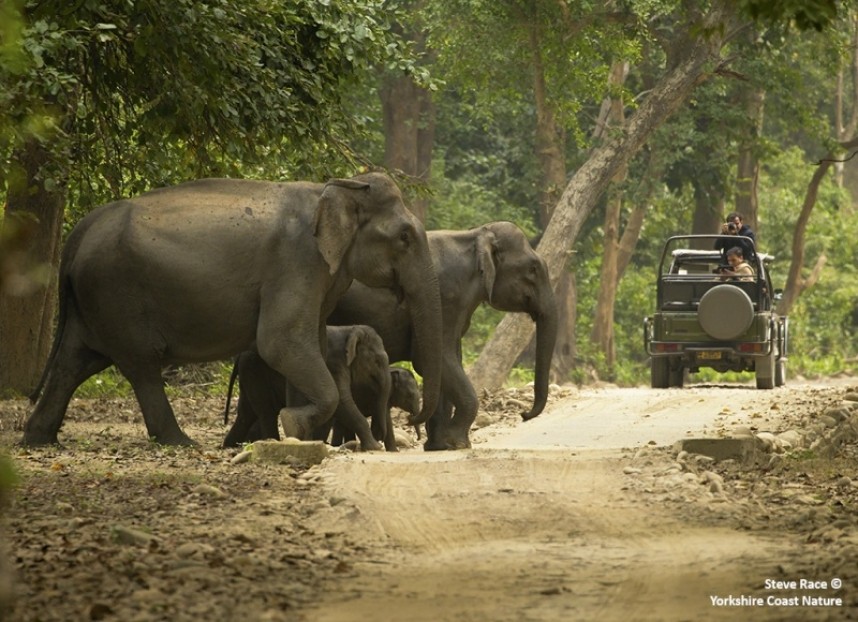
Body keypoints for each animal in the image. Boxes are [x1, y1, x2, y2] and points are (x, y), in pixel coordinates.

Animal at [223, 325, 394, 451]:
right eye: (377, 361)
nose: (380, 438)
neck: (348, 329)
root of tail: (239, 355)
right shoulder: (332, 364)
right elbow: (341, 401)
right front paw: (375, 448)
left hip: (248, 376)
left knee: (247, 414)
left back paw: (229, 447)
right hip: (255, 373)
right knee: (266, 412)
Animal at [327, 221, 558, 450]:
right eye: (533, 269)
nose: (524, 414)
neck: (474, 235)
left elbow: (446, 360)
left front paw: (440, 445)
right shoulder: (445, 296)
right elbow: (433, 359)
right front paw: (457, 443)